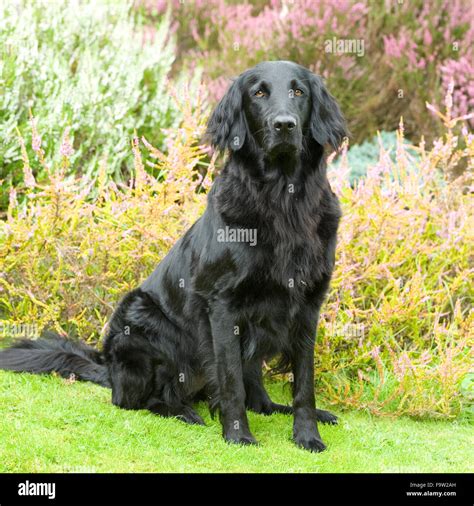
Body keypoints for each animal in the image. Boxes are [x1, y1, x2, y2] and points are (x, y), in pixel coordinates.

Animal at [0, 59, 348, 450]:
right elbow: (230, 381)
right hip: (139, 322)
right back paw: (184, 412)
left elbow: (304, 382)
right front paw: (238, 434)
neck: (282, 199)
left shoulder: (307, 302)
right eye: (258, 93)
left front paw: (307, 434)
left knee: (260, 400)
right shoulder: (223, 305)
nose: (285, 125)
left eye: (298, 91)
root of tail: (108, 369)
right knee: (140, 400)